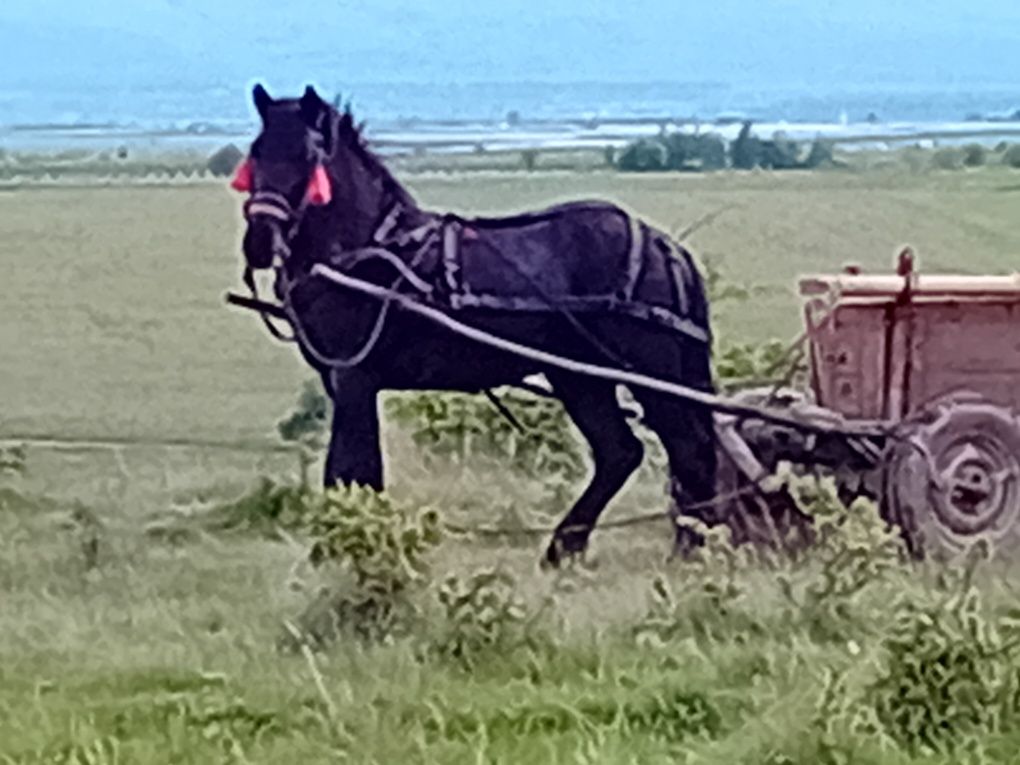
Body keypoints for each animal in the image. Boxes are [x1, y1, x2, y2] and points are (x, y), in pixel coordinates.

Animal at [235, 83, 722, 567]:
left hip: (649, 372)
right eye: (257, 152)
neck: (368, 250)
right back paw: (567, 547)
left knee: (688, 449)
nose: (259, 240)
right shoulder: (344, 381)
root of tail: (663, 246)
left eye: (307, 154)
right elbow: (358, 472)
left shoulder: (355, 377)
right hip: (580, 376)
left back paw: (691, 547)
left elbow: (351, 470)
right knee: (621, 452)